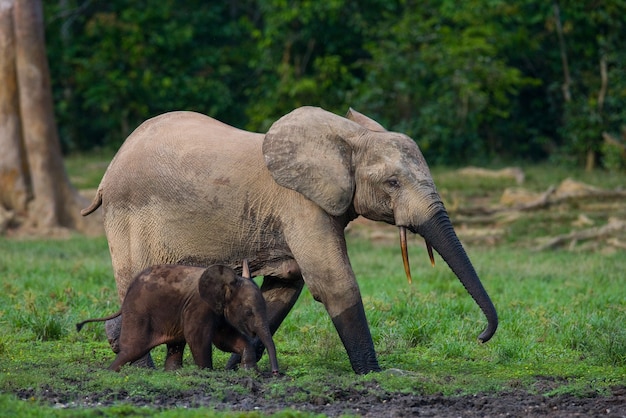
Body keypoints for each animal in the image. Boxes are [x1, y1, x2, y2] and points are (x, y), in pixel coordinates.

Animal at [74, 262, 276, 374]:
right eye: (248, 312)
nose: (275, 372)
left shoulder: (217, 311)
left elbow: (225, 339)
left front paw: (250, 371)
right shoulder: (199, 306)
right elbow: (198, 338)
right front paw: (207, 372)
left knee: (175, 344)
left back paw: (172, 372)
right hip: (138, 313)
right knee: (132, 349)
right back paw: (110, 371)